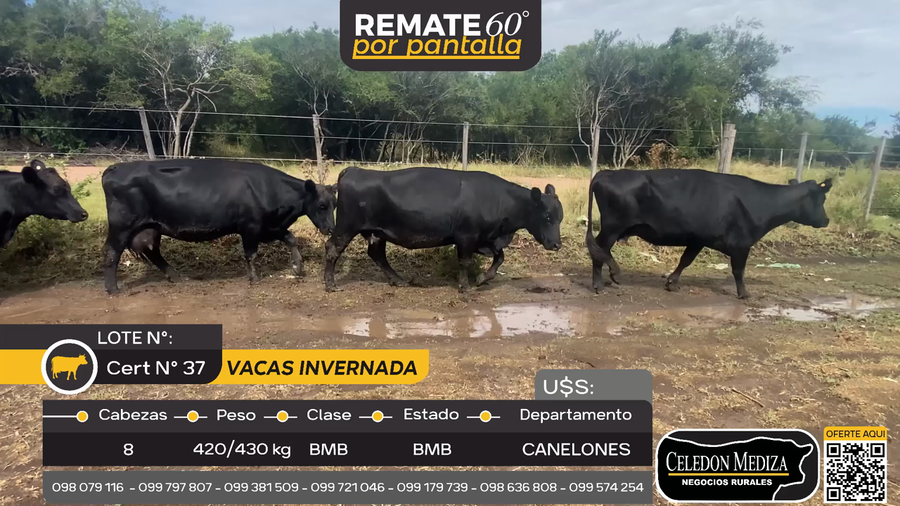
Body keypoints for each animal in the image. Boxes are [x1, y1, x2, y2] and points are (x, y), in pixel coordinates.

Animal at [101, 159, 336, 294]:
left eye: (335, 204)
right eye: (322, 205)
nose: (331, 228)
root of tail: (115, 168)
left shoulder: (270, 226)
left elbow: (291, 238)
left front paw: (297, 266)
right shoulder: (250, 227)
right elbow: (250, 254)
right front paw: (254, 277)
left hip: (150, 228)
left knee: (152, 251)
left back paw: (175, 276)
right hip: (122, 226)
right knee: (111, 253)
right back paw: (113, 289)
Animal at [324, 166, 564, 293]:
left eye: (560, 217)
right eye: (547, 216)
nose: (556, 244)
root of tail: (355, 170)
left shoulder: (486, 238)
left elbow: (500, 258)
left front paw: (482, 279)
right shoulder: (467, 236)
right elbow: (465, 262)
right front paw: (464, 286)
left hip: (377, 232)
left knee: (377, 255)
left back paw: (398, 280)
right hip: (346, 226)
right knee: (332, 248)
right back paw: (330, 284)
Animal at [584, 169, 832, 299]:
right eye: (822, 198)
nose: (826, 220)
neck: (762, 202)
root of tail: (605, 172)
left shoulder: (698, 239)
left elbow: (685, 260)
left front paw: (672, 282)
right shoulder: (742, 243)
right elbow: (738, 270)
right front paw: (744, 294)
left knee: (599, 250)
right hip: (612, 227)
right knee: (599, 249)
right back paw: (601, 282)